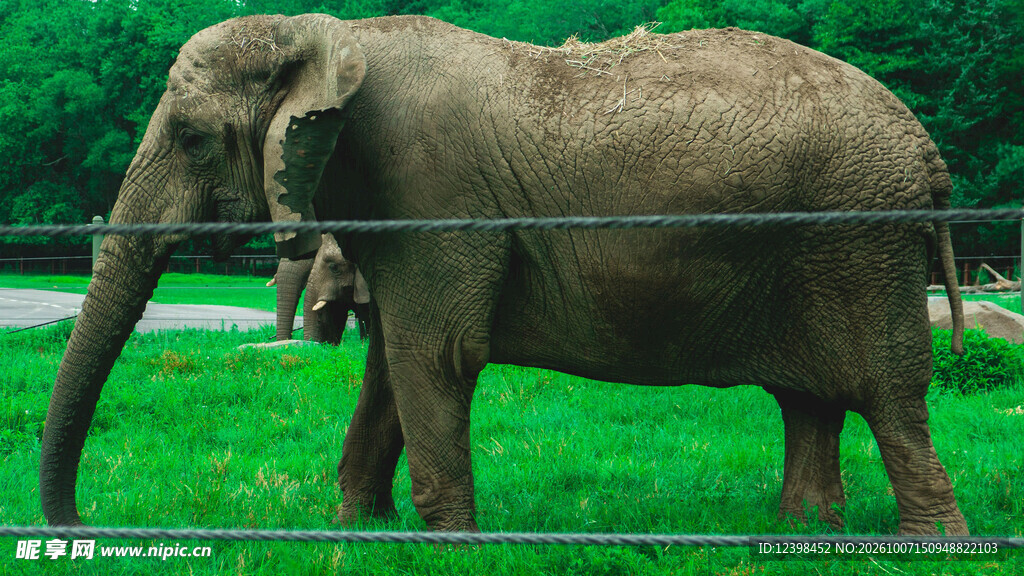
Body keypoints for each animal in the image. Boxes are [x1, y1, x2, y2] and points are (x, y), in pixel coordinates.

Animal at [40, 14, 969, 535]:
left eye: (193, 139)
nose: (87, 524)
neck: (329, 32)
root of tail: (928, 154)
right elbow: (392, 366)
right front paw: (358, 532)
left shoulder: (429, 190)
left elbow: (435, 356)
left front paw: (450, 543)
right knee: (809, 399)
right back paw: (803, 532)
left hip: (859, 240)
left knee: (890, 396)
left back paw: (932, 543)